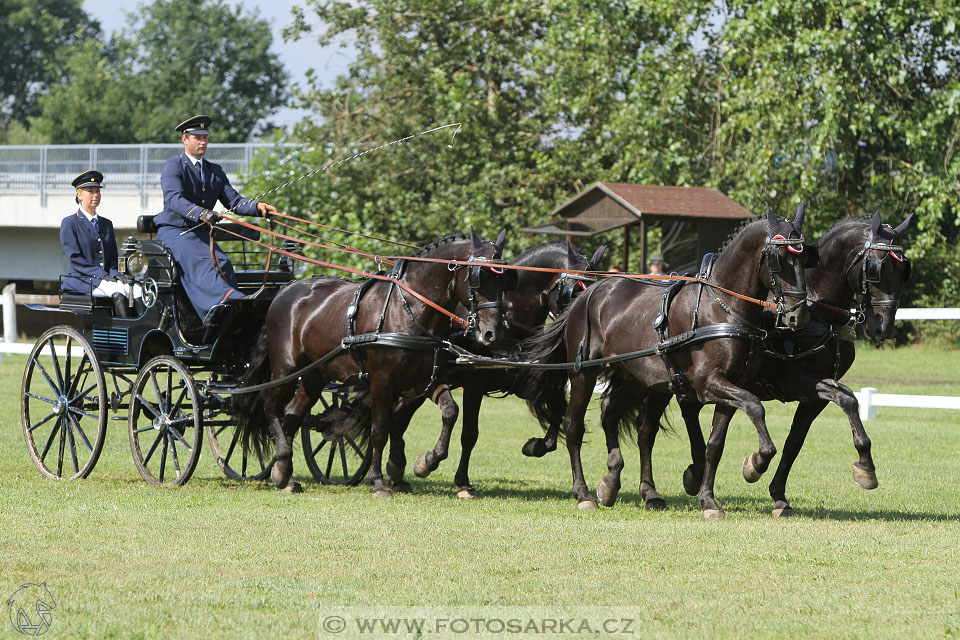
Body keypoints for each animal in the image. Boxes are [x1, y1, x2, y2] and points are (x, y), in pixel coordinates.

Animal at [234, 229, 510, 496]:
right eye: (477, 277)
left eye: (505, 279)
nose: (493, 333)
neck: (408, 309)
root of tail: (285, 291)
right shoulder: (381, 382)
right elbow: (379, 430)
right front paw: (378, 482)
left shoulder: (425, 380)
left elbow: (450, 412)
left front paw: (426, 462)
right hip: (286, 368)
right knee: (271, 406)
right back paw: (282, 461)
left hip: (314, 375)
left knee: (292, 414)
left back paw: (284, 474)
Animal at [382, 242, 608, 498]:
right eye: (571, 292)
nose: (580, 328)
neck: (508, 322)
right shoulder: (474, 385)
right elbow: (469, 433)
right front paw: (462, 481)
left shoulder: (533, 383)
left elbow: (558, 415)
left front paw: (535, 446)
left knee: (398, 416)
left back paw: (395, 473)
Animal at [524, 208, 808, 512]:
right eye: (779, 258)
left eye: (806, 257)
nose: (796, 316)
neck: (721, 306)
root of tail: (588, 294)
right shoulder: (708, 384)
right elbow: (755, 406)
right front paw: (757, 462)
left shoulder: (731, 386)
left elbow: (715, 445)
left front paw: (709, 499)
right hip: (583, 374)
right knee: (574, 427)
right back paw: (583, 493)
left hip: (640, 378)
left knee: (620, 417)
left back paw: (625, 485)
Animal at [668, 212, 916, 516]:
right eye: (875, 268)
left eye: (903, 269)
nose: (883, 328)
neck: (818, 309)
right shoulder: (798, 379)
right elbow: (843, 402)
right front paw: (755, 465)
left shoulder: (814, 395)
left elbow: (799, 438)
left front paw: (780, 495)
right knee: (687, 413)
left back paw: (695, 474)